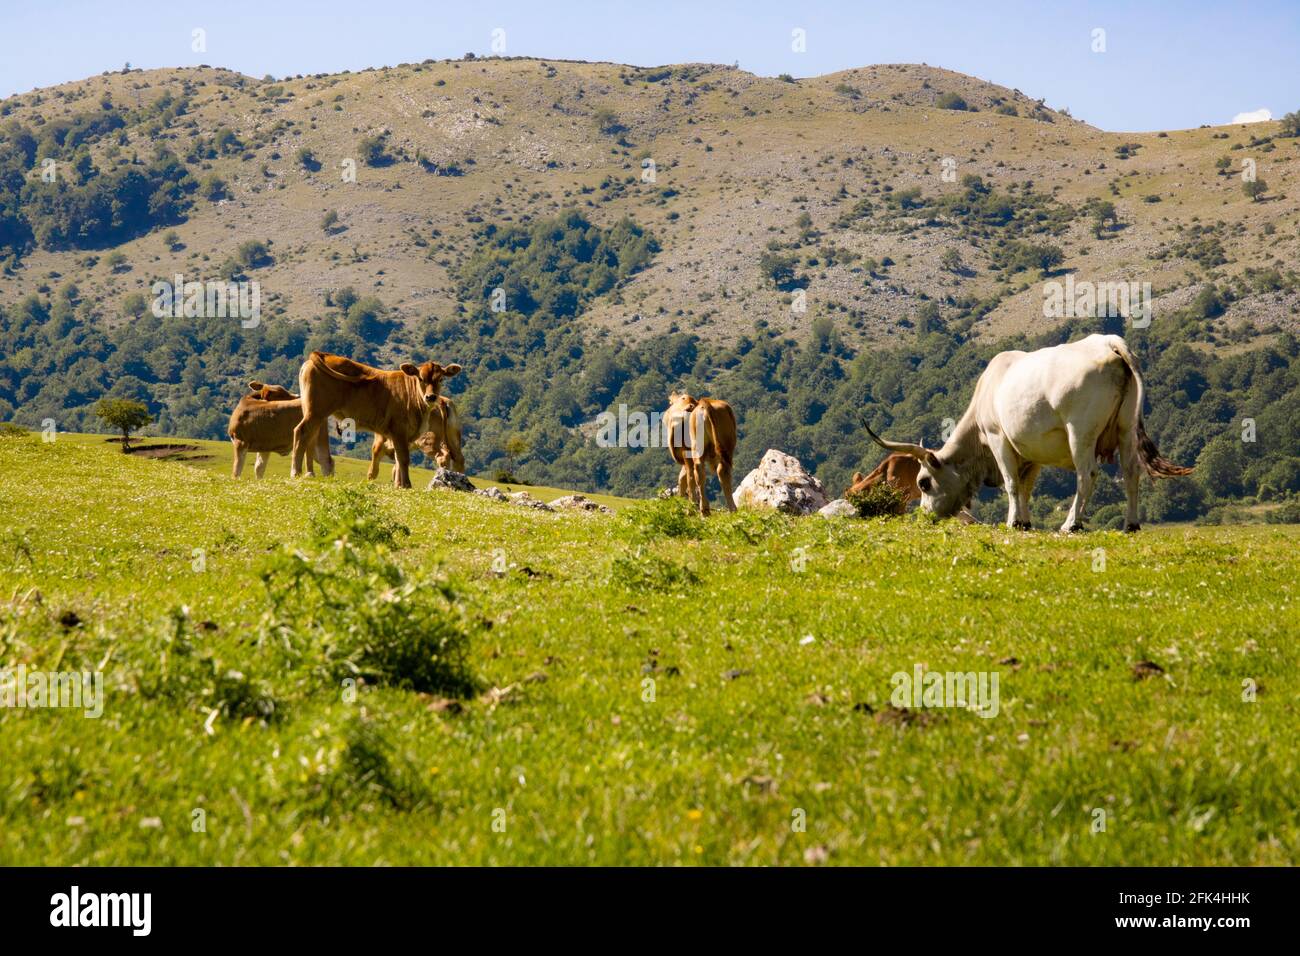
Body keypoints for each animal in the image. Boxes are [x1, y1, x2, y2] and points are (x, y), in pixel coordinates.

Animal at [291, 348, 462, 486]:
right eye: (421, 378)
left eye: (441, 379)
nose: (431, 397)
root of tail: (323, 355)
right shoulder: (398, 431)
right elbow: (403, 459)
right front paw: (406, 485)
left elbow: (398, 461)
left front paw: (400, 485)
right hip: (316, 411)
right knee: (301, 431)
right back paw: (296, 473)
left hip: (312, 411)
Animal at [868, 335, 1190, 530]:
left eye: (923, 482)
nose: (925, 517)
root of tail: (1108, 342)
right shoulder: (1031, 452)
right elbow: (1025, 487)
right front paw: (1025, 522)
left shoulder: (998, 439)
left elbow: (1011, 484)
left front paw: (1014, 522)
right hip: (1126, 429)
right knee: (1131, 471)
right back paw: (1130, 525)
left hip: (1080, 433)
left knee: (1087, 474)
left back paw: (1071, 524)